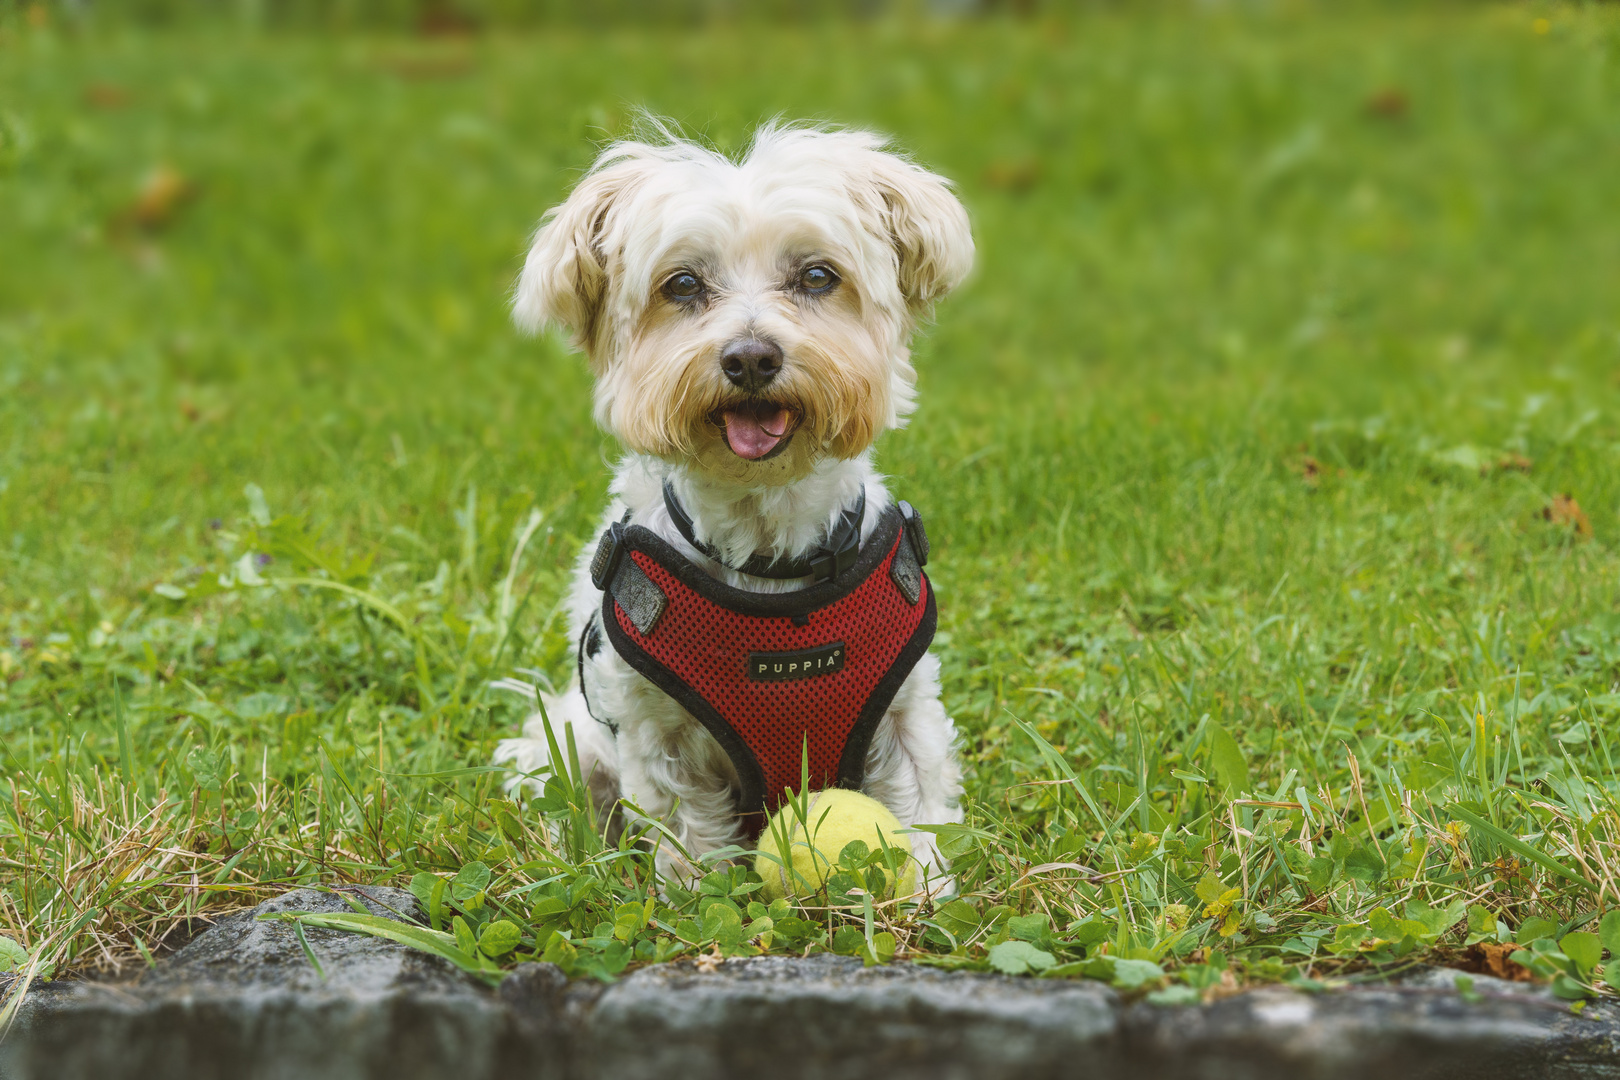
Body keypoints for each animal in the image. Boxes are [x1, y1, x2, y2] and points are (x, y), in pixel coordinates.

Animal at [492, 120, 972, 893]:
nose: (751, 357)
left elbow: (918, 806)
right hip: (572, 745)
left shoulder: (904, 711)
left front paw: (924, 888)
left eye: (817, 276)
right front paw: (697, 897)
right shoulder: (655, 730)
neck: (766, 546)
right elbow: (687, 831)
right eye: (683, 284)